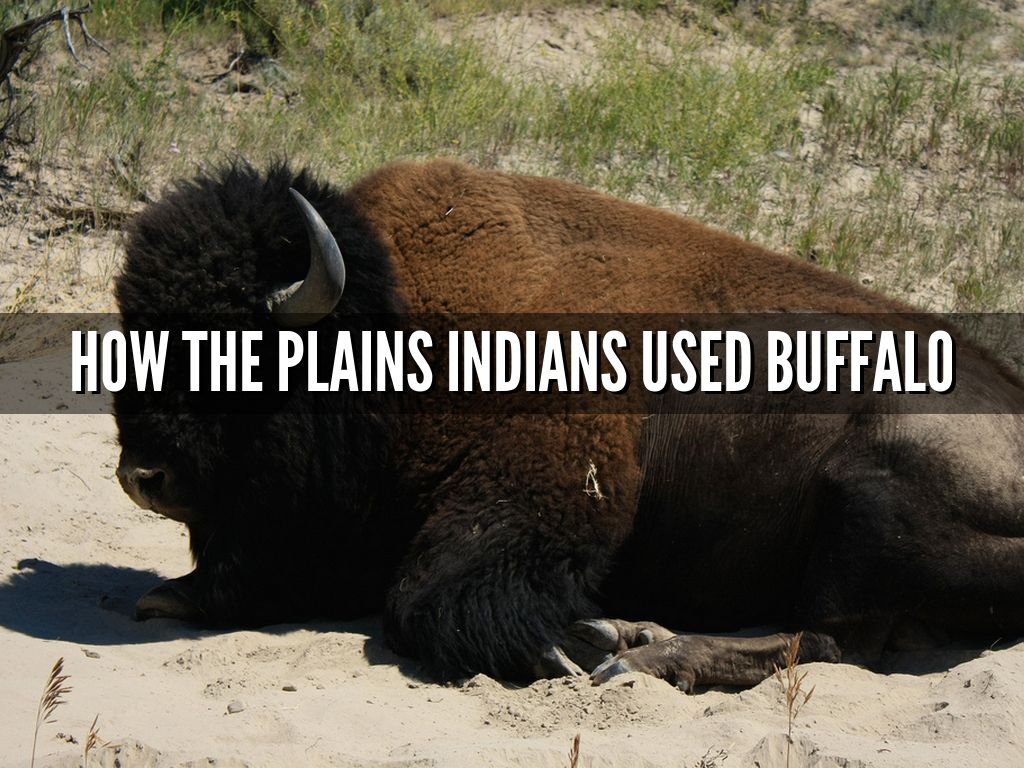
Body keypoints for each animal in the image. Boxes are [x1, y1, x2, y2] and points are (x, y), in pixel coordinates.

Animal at [113, 159, 1024, 689]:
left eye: (239, 347)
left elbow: (425, 597)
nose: (141, 476)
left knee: (831, 639)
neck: (392, 317)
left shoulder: (545, 482)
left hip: (868, 496)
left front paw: (574, 643)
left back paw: (641, 650)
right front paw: (165, 594)